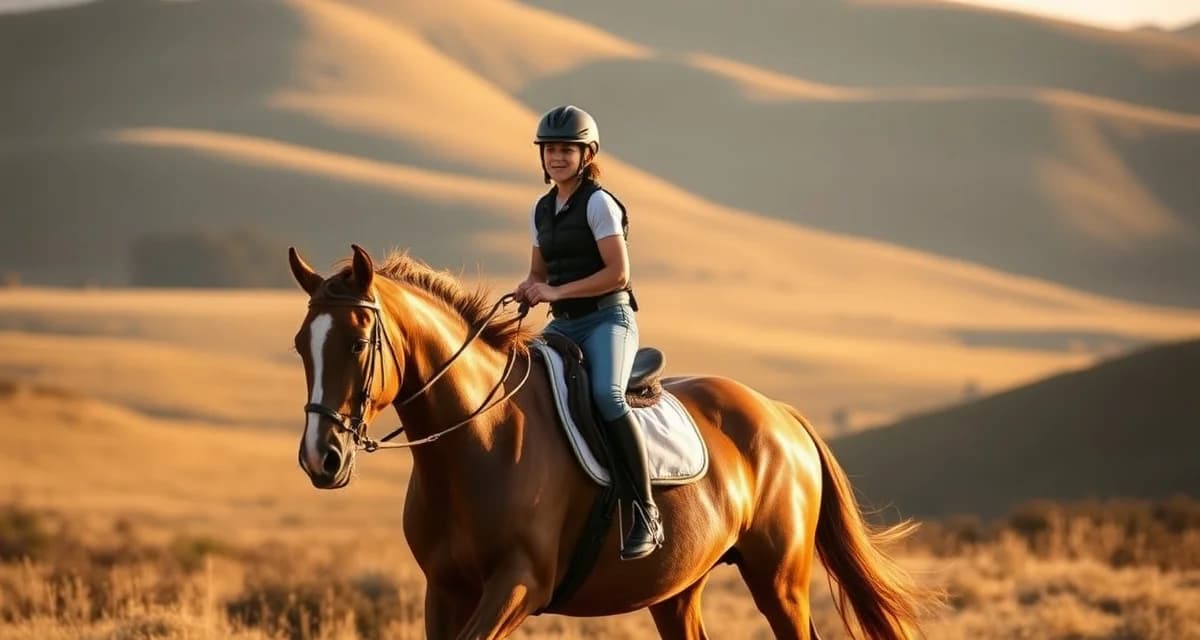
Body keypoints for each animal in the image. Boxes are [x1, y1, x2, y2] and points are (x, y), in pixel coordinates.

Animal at [288, 244, 936, 640]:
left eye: (357, 343)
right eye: (300, 345)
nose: (322, 458)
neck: (477, 442)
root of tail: (782, 416)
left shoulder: (518, 586)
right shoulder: (444, 590)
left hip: (779, 580)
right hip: (678, 588)